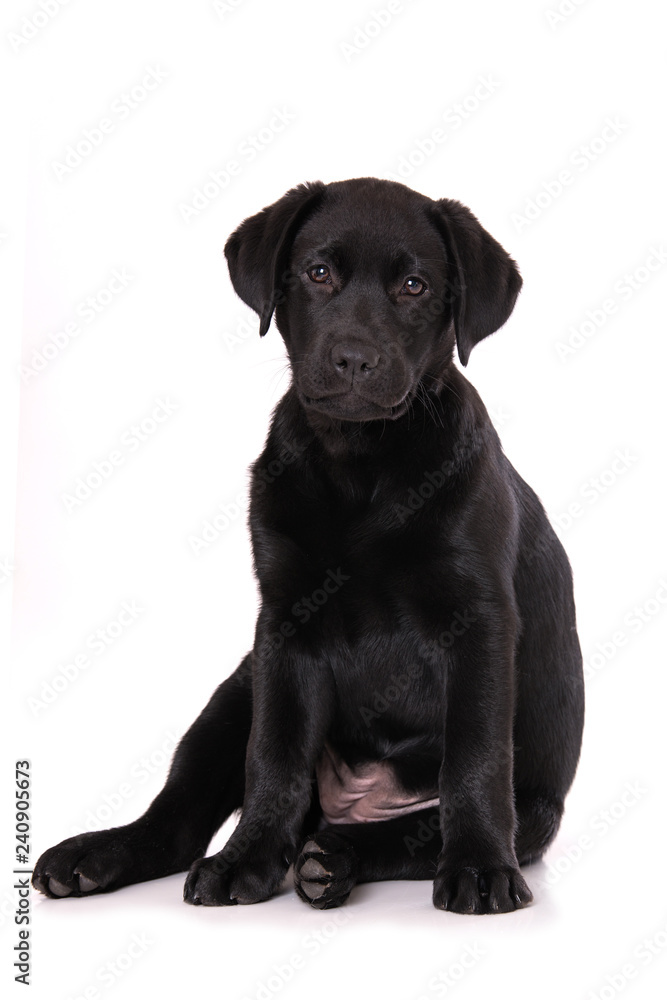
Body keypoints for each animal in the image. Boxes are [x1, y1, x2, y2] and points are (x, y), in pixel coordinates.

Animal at [32, 178, 584, 916]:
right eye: (318, 273)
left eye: (413, 286)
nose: (353, 358)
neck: (361, 464)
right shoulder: (284, 624)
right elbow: (276, 752)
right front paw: (248, 859)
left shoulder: (479, 625)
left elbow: (473, 757)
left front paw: (478, 868)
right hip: (233, 692)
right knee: (177, 821)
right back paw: (97, 856)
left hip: (536, 811)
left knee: (414, 830)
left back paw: (336, 860)